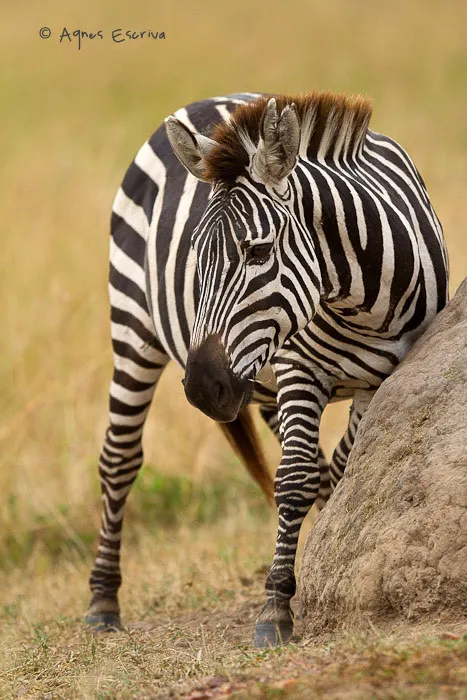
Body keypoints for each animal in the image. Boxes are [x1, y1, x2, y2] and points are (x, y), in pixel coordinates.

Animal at [85, 91, 449, 647]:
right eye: (195, 253)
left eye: (257, 251)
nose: (203, 387)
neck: (366, 304)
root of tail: (207, 100)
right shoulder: (299, 371)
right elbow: (295, 477)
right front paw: (277, 606)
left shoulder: (382, 377)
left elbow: (338, 466)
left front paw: (322, 553)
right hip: (133, 321)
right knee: (119, 459)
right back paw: (103, 601)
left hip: (258, 378)